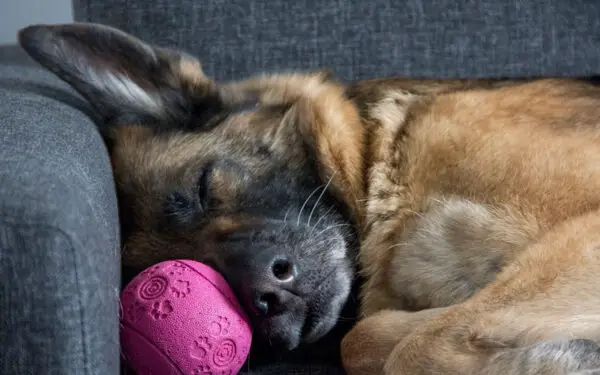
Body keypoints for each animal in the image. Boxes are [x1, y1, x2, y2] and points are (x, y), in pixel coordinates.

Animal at [18, 22, 600, 374]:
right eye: (187, 268)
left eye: (203, 187)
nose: (266, 299)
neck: (379, 157)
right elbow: (365, 339)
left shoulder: (584, 229)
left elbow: (415, 345)